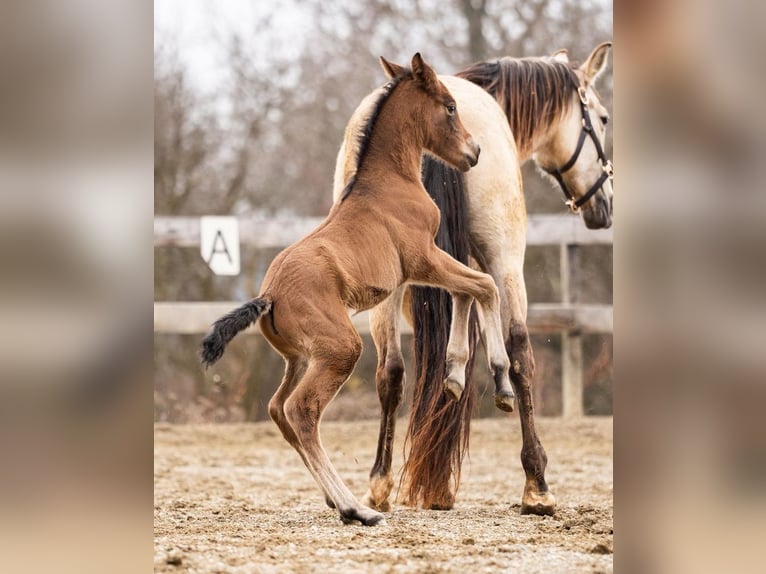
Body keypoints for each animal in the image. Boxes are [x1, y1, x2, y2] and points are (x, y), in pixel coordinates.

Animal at [200, 53, 517, 526]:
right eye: (450, 106)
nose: (473, 153)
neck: (390, 182)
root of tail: (268, 296)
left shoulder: (421, 270)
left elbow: (468, 292)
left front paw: (455, 376)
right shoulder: (423, 259)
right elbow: (486, 287)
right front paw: (501, 383)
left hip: (300, 358)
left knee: (278, 409)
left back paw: (338, 500)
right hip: (341, 348)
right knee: (301, 411)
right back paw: (355, 508)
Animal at [332, 42, 613, 515]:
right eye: (604, 118)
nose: (604, 205)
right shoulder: (488, 261)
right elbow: (494, 331)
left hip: (382, 281)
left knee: (391, 371)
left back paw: (381, 482)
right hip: (506, 257)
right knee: (521, 353)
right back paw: (536, 483)